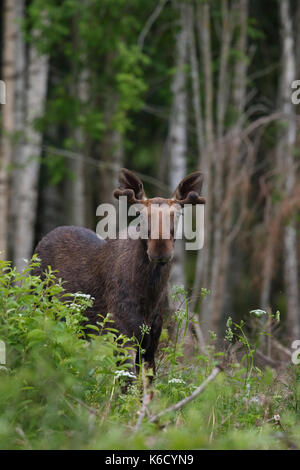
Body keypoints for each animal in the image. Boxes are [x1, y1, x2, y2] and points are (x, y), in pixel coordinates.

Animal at [34, 168, 205, 378]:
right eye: (140, 215)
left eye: (178, 214)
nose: (160, 249)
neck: (149, 297)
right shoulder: (121, 335)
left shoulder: (151, 342)